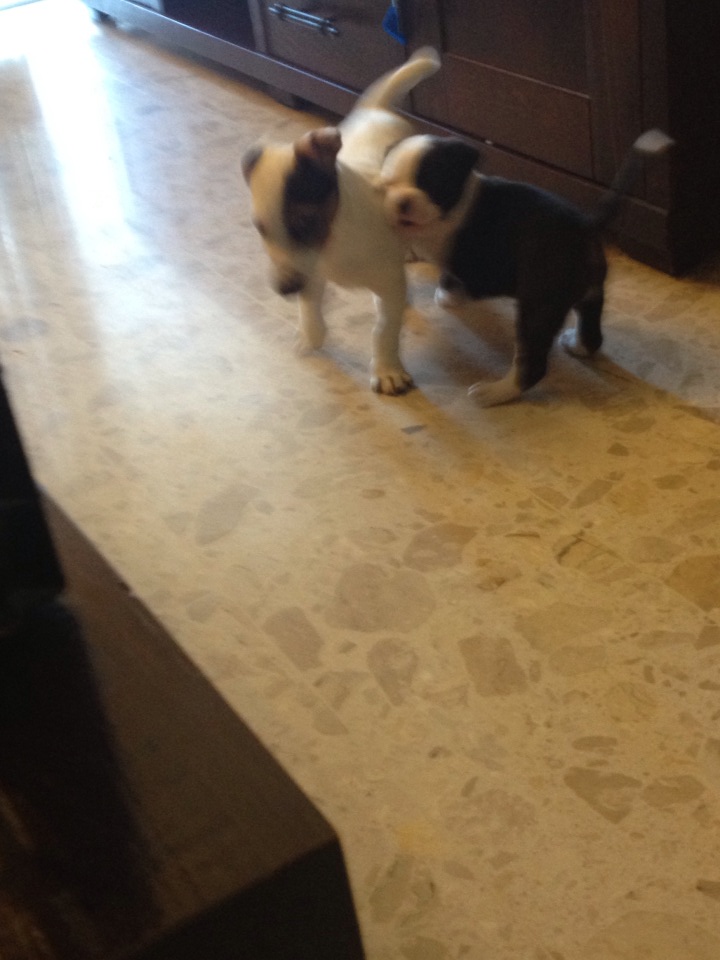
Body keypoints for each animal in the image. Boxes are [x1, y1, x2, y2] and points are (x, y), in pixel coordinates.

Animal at [241, 48, 440, 395]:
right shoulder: (309, 270)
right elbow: (309, 305)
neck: (335, 236)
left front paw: (387, 371)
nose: (284, 289)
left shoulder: (387, 284)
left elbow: (384, 330)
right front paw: (311, 334)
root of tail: (378, 110)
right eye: (260, 229)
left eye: (304, 221)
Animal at [379, 129, 674, 405]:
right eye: (389, 184)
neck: (461, 198)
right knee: (592, 332)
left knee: (532, 365)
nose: (401, 202)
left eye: (430, 181)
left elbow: (443, 267)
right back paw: (577, 344)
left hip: (538, 308)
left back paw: (493, 392)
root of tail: (584, 225)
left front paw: (445, 294)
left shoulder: (451, 248)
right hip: (590, 292)